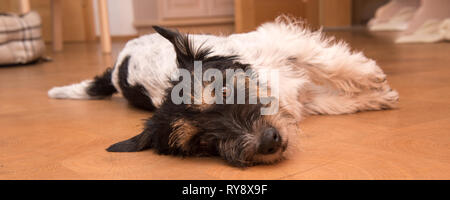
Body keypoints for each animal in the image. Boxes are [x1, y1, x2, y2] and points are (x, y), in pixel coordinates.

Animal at [48, 15, 400, 166]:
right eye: (202, 142)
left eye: (224, 93)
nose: (268, 143)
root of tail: (118, 66)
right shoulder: (302, 98)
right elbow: (334, 101)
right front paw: (376, 94)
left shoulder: (286, 45)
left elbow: (328, 63)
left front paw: (372, 79)